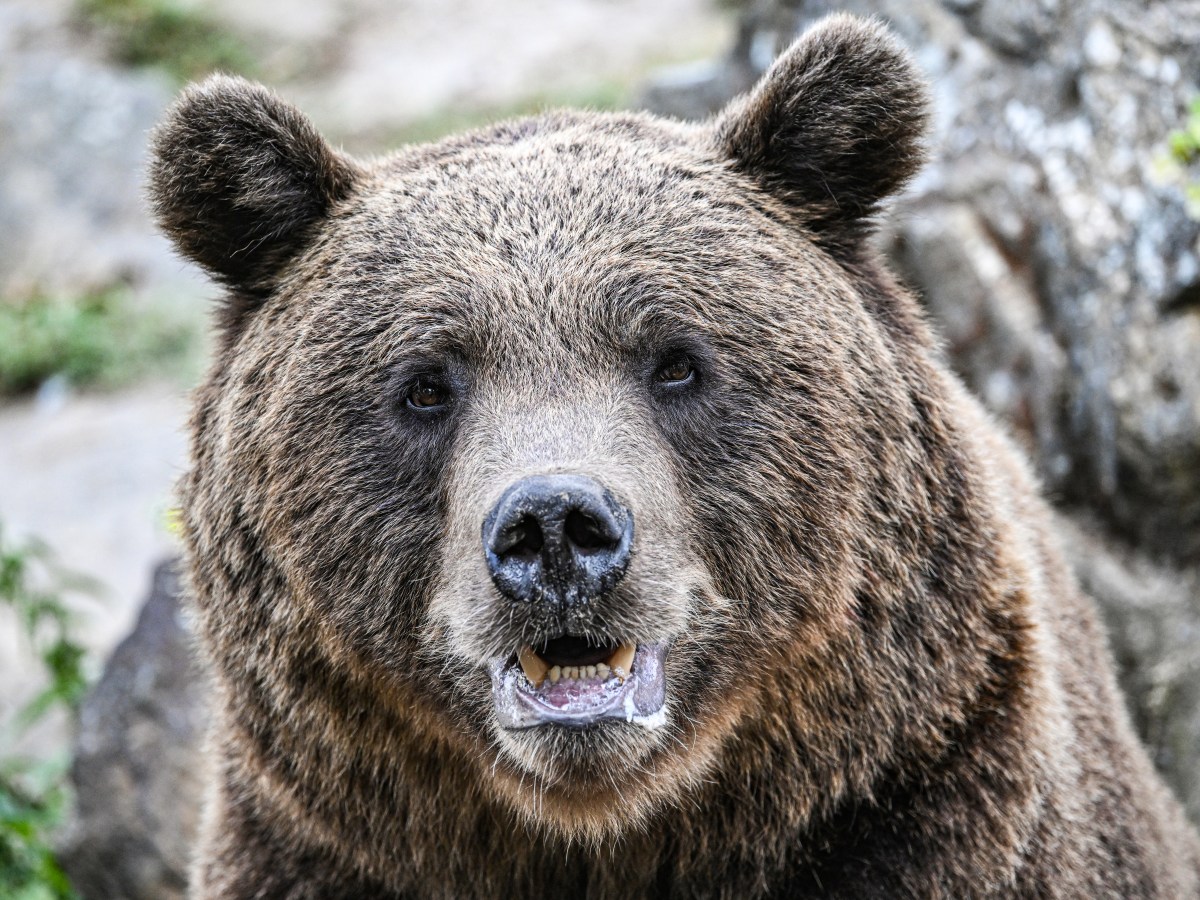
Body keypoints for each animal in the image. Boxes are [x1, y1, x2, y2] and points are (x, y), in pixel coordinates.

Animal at [147, 14, 1200, 900]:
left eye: (677, 360)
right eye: (425, 384)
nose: (555, 527)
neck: (618, 837)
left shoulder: (930, 807)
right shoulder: (318, 849)